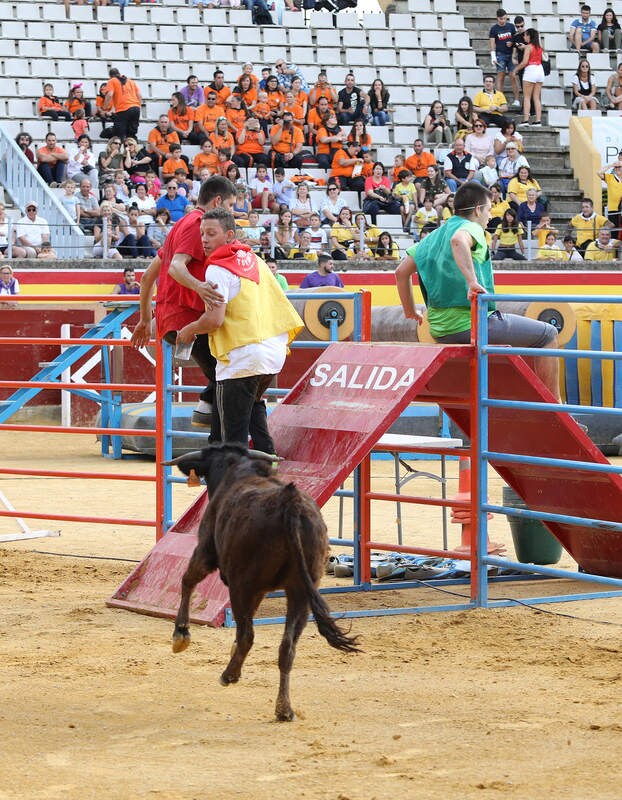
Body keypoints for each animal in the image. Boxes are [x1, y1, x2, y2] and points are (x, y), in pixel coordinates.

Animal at [166, 440, 360, 720]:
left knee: (248, 633)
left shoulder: (206, 551)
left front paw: (181, 634)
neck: (236, 469)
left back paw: (230, 675)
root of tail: (290, 503)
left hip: (241, 585)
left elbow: (187, 579)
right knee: (287, 647)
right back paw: (284, 708)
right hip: (300, 591)